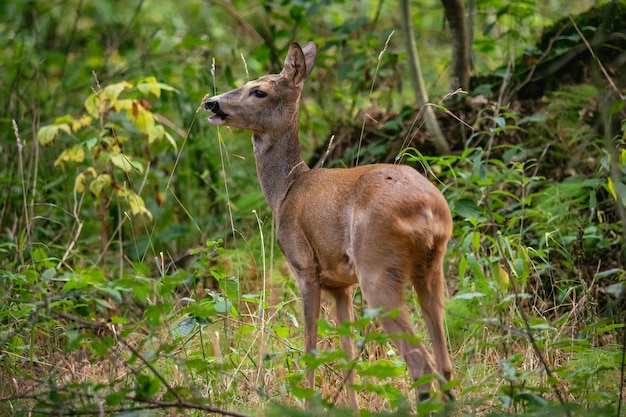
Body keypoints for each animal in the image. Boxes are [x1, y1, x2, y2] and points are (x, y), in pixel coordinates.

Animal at [205, 40, 454, 404]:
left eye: (259, 91)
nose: (212, 102)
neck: (286, 190)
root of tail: (428, 210)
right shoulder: (341, 285)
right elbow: (348, 354)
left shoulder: (304, 267)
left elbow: (311, 347)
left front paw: (306, 402)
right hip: (432, 267)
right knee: (445, 362)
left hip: (377, 268)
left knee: (420, 361)